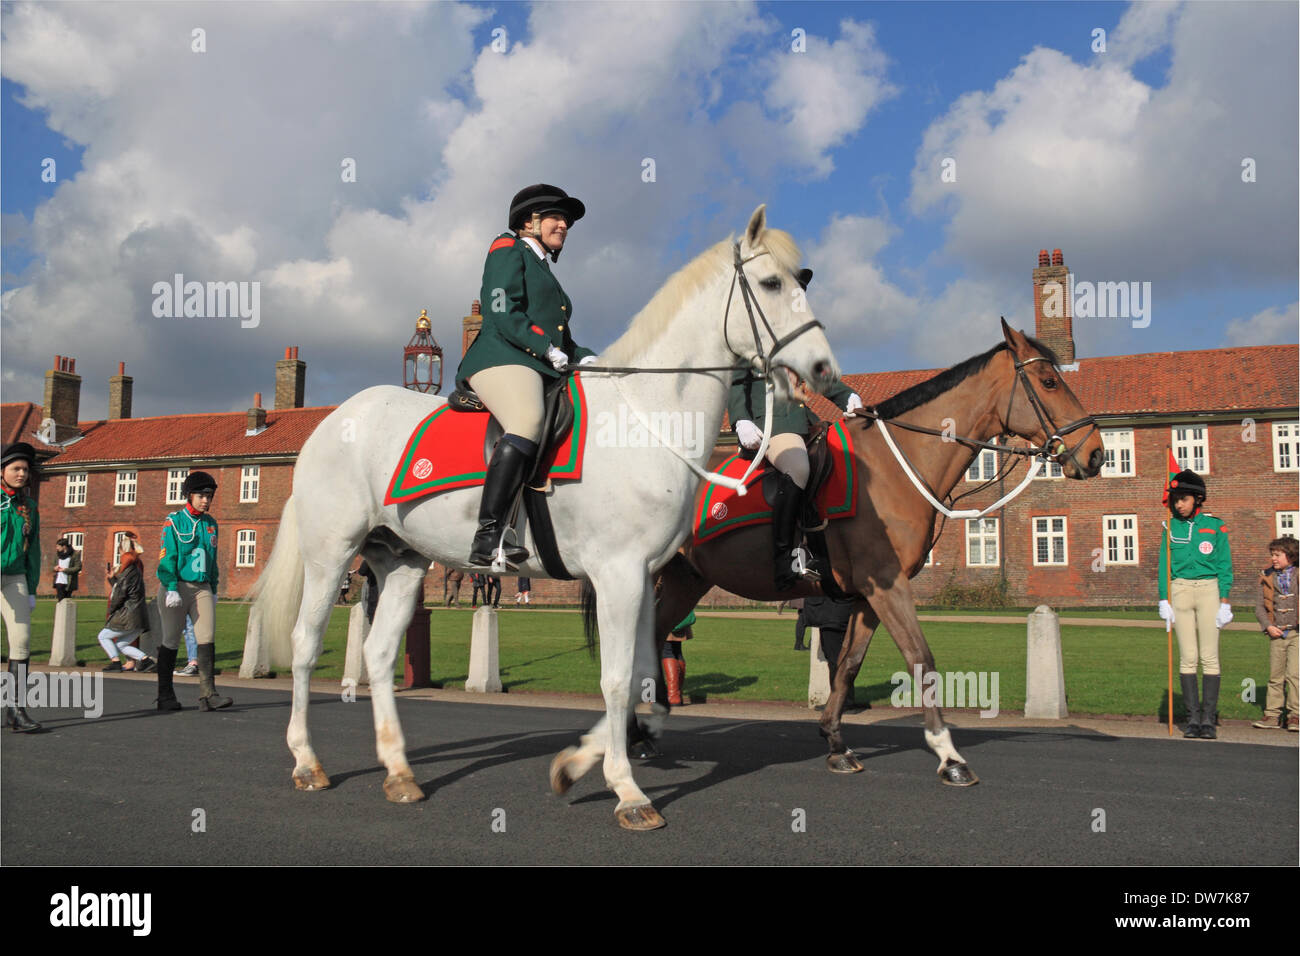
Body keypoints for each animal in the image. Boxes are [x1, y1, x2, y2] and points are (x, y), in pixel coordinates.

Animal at [252, 208, 842, 832]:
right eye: (772, 283)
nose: (824, 369)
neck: (645, 415)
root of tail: (333, 419)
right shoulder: (618, 575)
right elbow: (617, 679)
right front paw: (626, 790)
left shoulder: (643, 576)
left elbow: (642, 673)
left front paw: (581, 761)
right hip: (330, 555)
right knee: (305, 644)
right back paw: (307, 761)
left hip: (403, 563)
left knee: (380, 653)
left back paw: (399, 772)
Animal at [644, 321, 1102, 785]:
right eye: (1048, 381)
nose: (1096, 452)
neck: (893, 466)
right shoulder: (887, 586)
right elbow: (920, 658)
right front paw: (948, 754)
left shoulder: (868, 596)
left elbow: (848, 664)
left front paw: (835, 742)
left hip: (686, 580)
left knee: (653, 636)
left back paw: (641, 733)